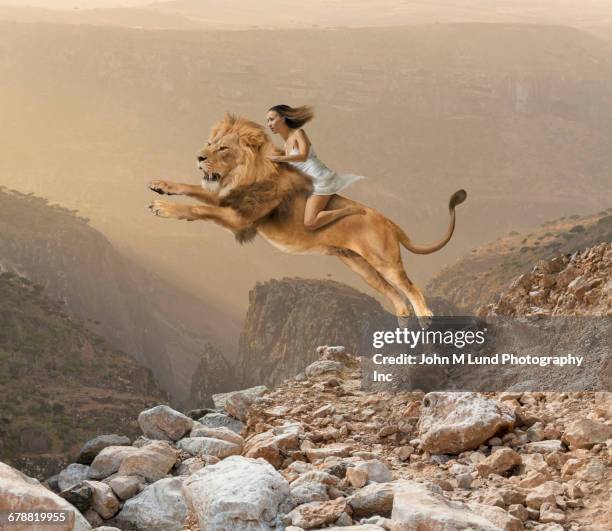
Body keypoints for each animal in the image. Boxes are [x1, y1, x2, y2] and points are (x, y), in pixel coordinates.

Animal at [151, 114, 466, 326]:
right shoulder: (228, 199)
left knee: (410, 288)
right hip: (360, 266)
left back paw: (425, 319)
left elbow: (196, 209)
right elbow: (191, 189)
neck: (245, 175)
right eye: (209, 143)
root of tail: (388, 220)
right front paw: (160, 185)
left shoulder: (240, 218)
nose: (198, 157)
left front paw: (162, 207)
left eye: (223, 148)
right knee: (396, 297)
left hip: (384, 261)